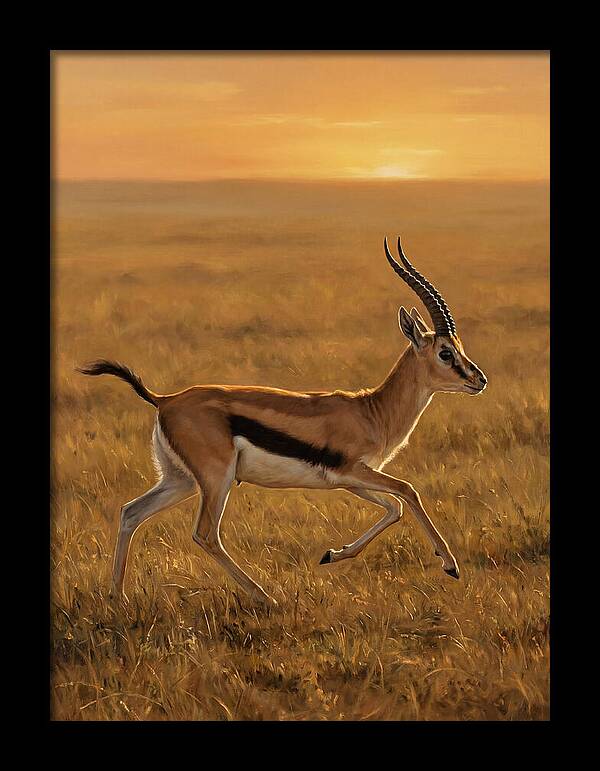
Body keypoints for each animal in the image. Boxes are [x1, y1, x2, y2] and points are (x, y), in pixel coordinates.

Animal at [78, 237, 487, 607]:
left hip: (180, 480)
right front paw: (450, 565)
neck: (372, 411)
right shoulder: (353, 471)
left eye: (460, 348)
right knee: (205, 534)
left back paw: (117, 597)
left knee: (131, 512)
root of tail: (165, 399)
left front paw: (332, 554)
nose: (478, 379)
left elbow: (394, 508)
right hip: (216, 479)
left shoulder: (348, 480)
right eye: (445, 353)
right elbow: (408, 492)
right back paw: (266, 597)